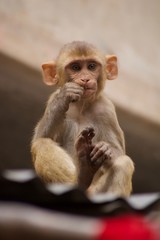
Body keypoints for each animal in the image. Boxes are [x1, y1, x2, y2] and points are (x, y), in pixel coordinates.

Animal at [31, 40, 134, 195]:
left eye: (91, 66)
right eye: (75, 67)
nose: (85, 78)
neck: (82, 106)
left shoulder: (106, 110)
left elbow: (118, 151)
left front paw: (105, 148)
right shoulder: (52, 99)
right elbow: (40, 137)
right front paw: (65, 96)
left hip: (94, 191)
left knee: (124, 164)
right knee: (41, 143)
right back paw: (82, 176)